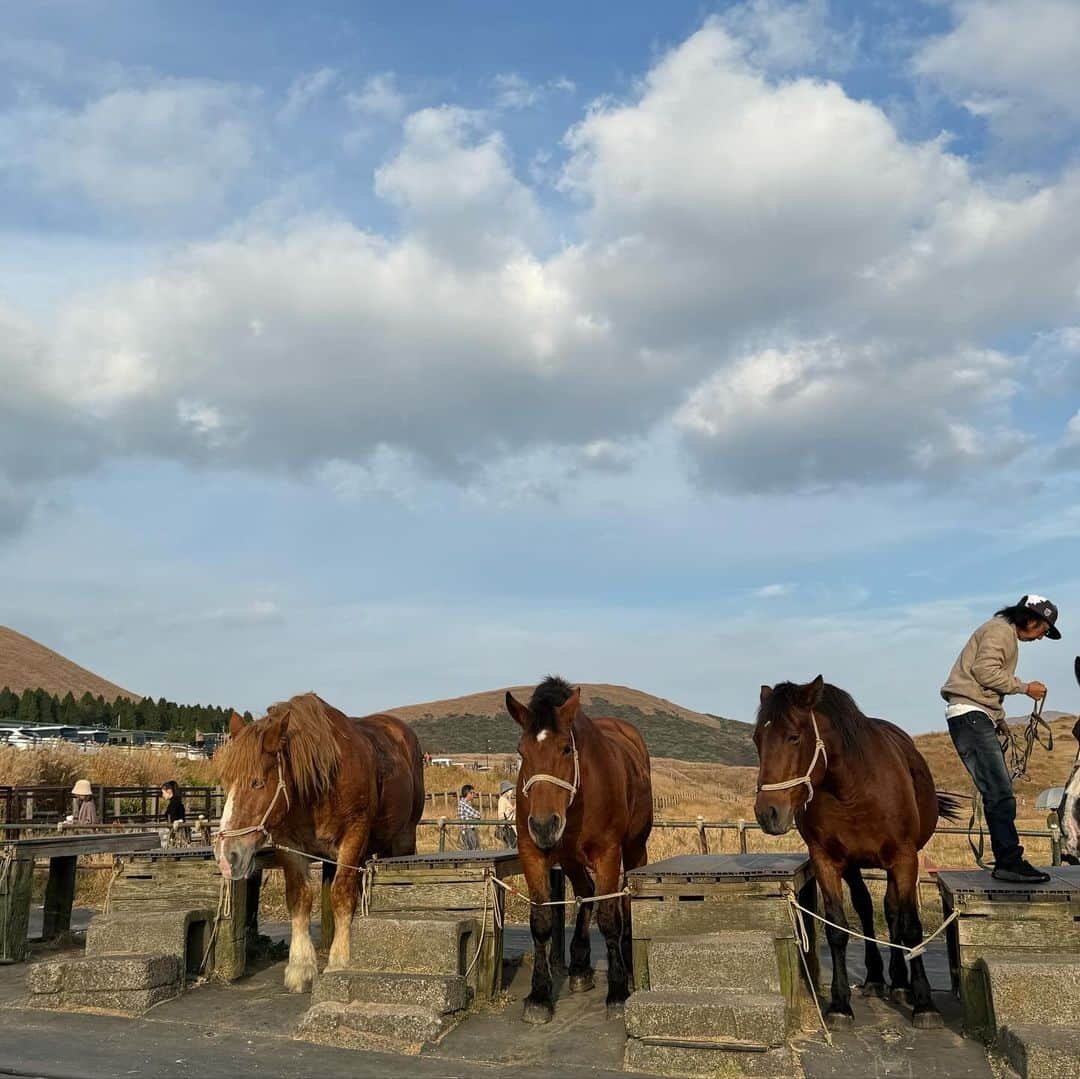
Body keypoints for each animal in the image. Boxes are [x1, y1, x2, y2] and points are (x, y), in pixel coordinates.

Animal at [216, 695, 425, 989]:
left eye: (257, 783)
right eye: (225, 782)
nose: (226, 856)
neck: (319, 787)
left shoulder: (354, 837)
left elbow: (341, 895)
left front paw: (339, 960)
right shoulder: (290, 845)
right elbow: (300, 898)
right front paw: (301, 965)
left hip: (403, 839)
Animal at [503, 678, 648, 1023]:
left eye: (565, 749)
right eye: (521, 752)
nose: (544, 824)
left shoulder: (608, 852)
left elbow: (609, 916)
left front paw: (618, 990)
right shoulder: (532, 851)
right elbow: (541, 920)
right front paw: (540, 994)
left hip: (634, 849)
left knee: (625, 896)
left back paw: (627, 961)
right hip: (569, 858)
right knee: (586, 890)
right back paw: (580, 966)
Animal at [756, 678, 959, 1032]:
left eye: (793, 737)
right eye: (757, 739)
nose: (767, 813)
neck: (854, 791)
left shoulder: (905, 859)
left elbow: (910, 926)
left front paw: (924, 1003)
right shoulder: (827, 861)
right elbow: (837, 929)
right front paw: (839, 1004)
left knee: (893, 912)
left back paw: (901, 983)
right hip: (853, 866)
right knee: (865, 909)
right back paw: (877, 978)